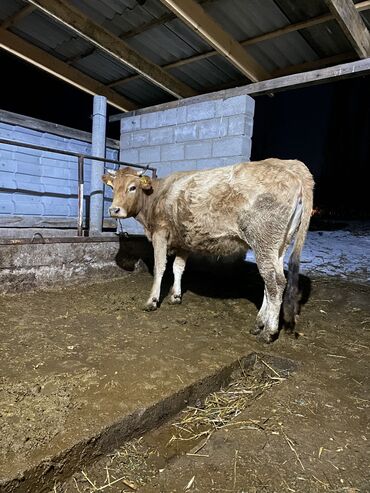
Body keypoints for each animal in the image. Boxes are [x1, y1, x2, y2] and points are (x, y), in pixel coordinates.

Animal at [102, 160, 314, 344]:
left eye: (132, 187)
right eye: (113, 188)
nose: (114, 210)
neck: (156, 196)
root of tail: (292, 169)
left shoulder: (160, 233)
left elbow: (160, 267)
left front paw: (152, 301)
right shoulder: (183, 241)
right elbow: (178, 268)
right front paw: (175, 296)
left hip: (264, 240)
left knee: (275, 283)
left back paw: (268, 332)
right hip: (279, 245)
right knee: (270, 283)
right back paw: (259, 323)